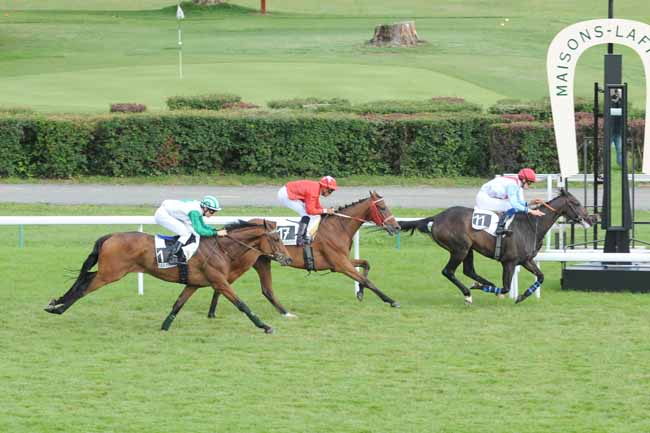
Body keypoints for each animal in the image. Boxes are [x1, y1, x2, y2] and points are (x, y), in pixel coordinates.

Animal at [49, 219, 292, 334]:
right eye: (276, 239)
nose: (288, 259)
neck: (222, 248)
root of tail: (110, 236)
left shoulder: (194, 284)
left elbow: (177, 304)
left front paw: (164, 327)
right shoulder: (219, 281)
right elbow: (242, 304)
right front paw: (265, 326)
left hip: (108, 271)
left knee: (84, 277)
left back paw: (55, 302)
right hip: (110, 273)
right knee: (84, 286)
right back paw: (59, 309)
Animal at [208, 190, 400, 318]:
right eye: (382, 207)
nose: (397, 227)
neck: (338, 226)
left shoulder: (340, 261)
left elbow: (366, 264)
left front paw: (359, 293)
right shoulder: (340, 264)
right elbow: (367, 280)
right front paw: (391, 300)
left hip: (262, 261)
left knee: (266, 290)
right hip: (244, 262)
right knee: (223, 283)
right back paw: (212, 312)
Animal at [398, 189, 588, 304]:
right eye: (577, 203)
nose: (590, 218)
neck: (531, 225)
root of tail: (437, 217)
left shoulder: (526, 260)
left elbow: (540, 277)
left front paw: (521, 296)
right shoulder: (509, 262)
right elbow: (506, 286)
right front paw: (494, 291)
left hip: (468, 249)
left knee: (469, 270)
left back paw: (482, 284)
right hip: (460, 248)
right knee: (448, 271)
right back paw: (469, 293)